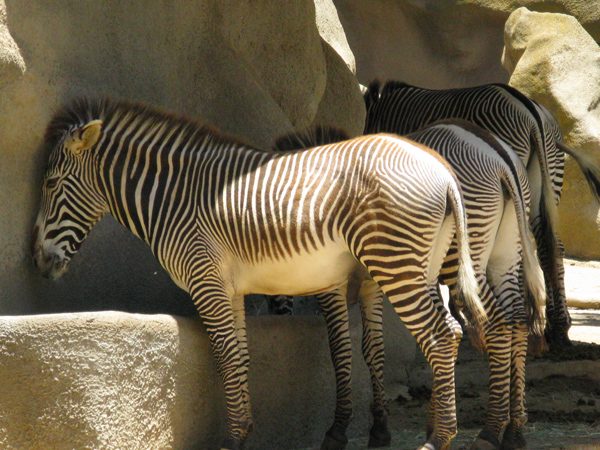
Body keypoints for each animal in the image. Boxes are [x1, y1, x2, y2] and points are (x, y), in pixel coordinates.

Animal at [31, 97, 487, 450]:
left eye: (51, 184)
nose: (38, 261)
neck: (175, 198)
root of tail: (442, 170)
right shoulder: (229, 290)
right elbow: (242, 356)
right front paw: (245, 430)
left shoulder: (206, 282)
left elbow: (227, 357)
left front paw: (232, 439)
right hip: (421, 267)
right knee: (447, 332)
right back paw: (435, 427)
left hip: (396, 263)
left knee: (441, 335)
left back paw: (438, 439)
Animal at [278, 121, 546, 450]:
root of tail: (497, 155)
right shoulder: (373, 282)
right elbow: (373, 347)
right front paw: (380, 428)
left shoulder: (335, 283)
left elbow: (340, 347)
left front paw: (338, 429)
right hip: (506, 251)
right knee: (517, 320)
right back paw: (513, 430)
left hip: (466, 256)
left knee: (496, 323)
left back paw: (490, 430)